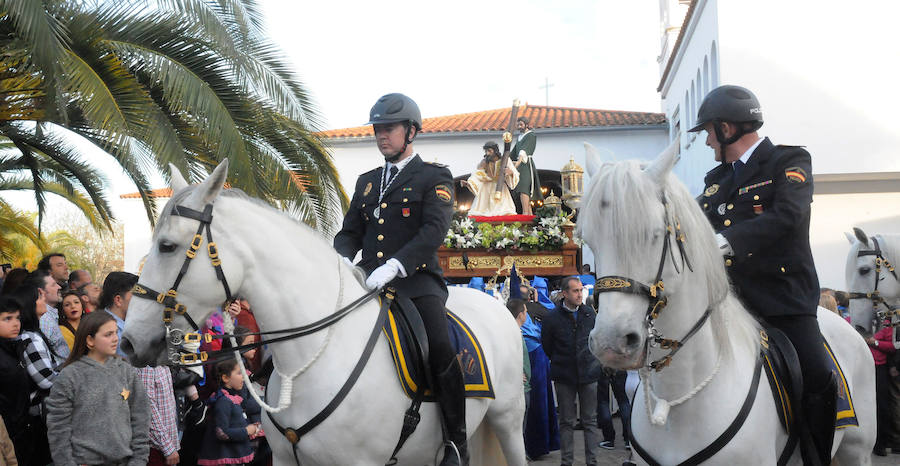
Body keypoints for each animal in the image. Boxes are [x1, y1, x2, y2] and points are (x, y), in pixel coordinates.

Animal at [119, 162, 528, 464]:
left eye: (167, 246)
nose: (129, 342)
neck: (315, 356)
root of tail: (493, 302)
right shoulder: (286, 460)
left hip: (508, 422)